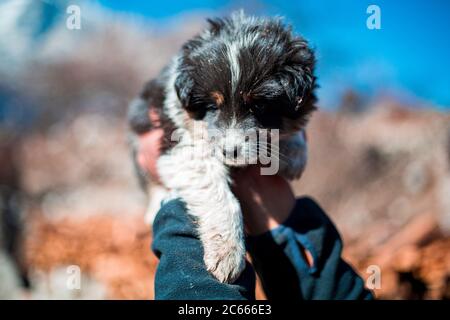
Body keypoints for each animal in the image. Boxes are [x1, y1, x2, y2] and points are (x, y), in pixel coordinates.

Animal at [126, 11, 316, 282]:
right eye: (212, 106)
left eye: (259, 105)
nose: (229, 152)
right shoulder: (180, 143)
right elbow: (222, 199)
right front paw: (228, 255)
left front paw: (294, 154)